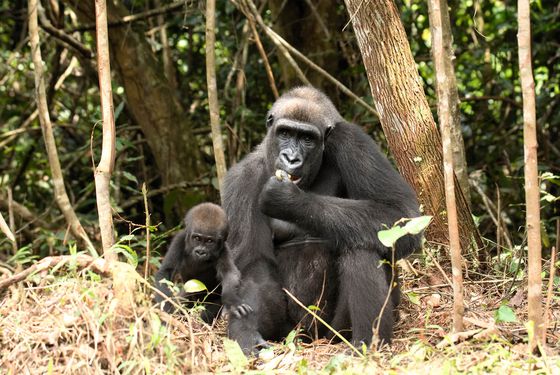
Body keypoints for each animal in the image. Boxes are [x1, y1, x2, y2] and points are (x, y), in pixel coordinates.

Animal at [223, 86, 420, 354]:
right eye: (285, 133)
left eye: (308, 139)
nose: (291, 158)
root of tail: (312, 339)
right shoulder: (242, 179)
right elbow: (253, 264)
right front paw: (245, 333)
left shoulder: (350, 139)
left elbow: (400, 213)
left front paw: (290, 200)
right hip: (289, 333)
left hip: (332, 334)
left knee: (364, 244)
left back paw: (366, 343)